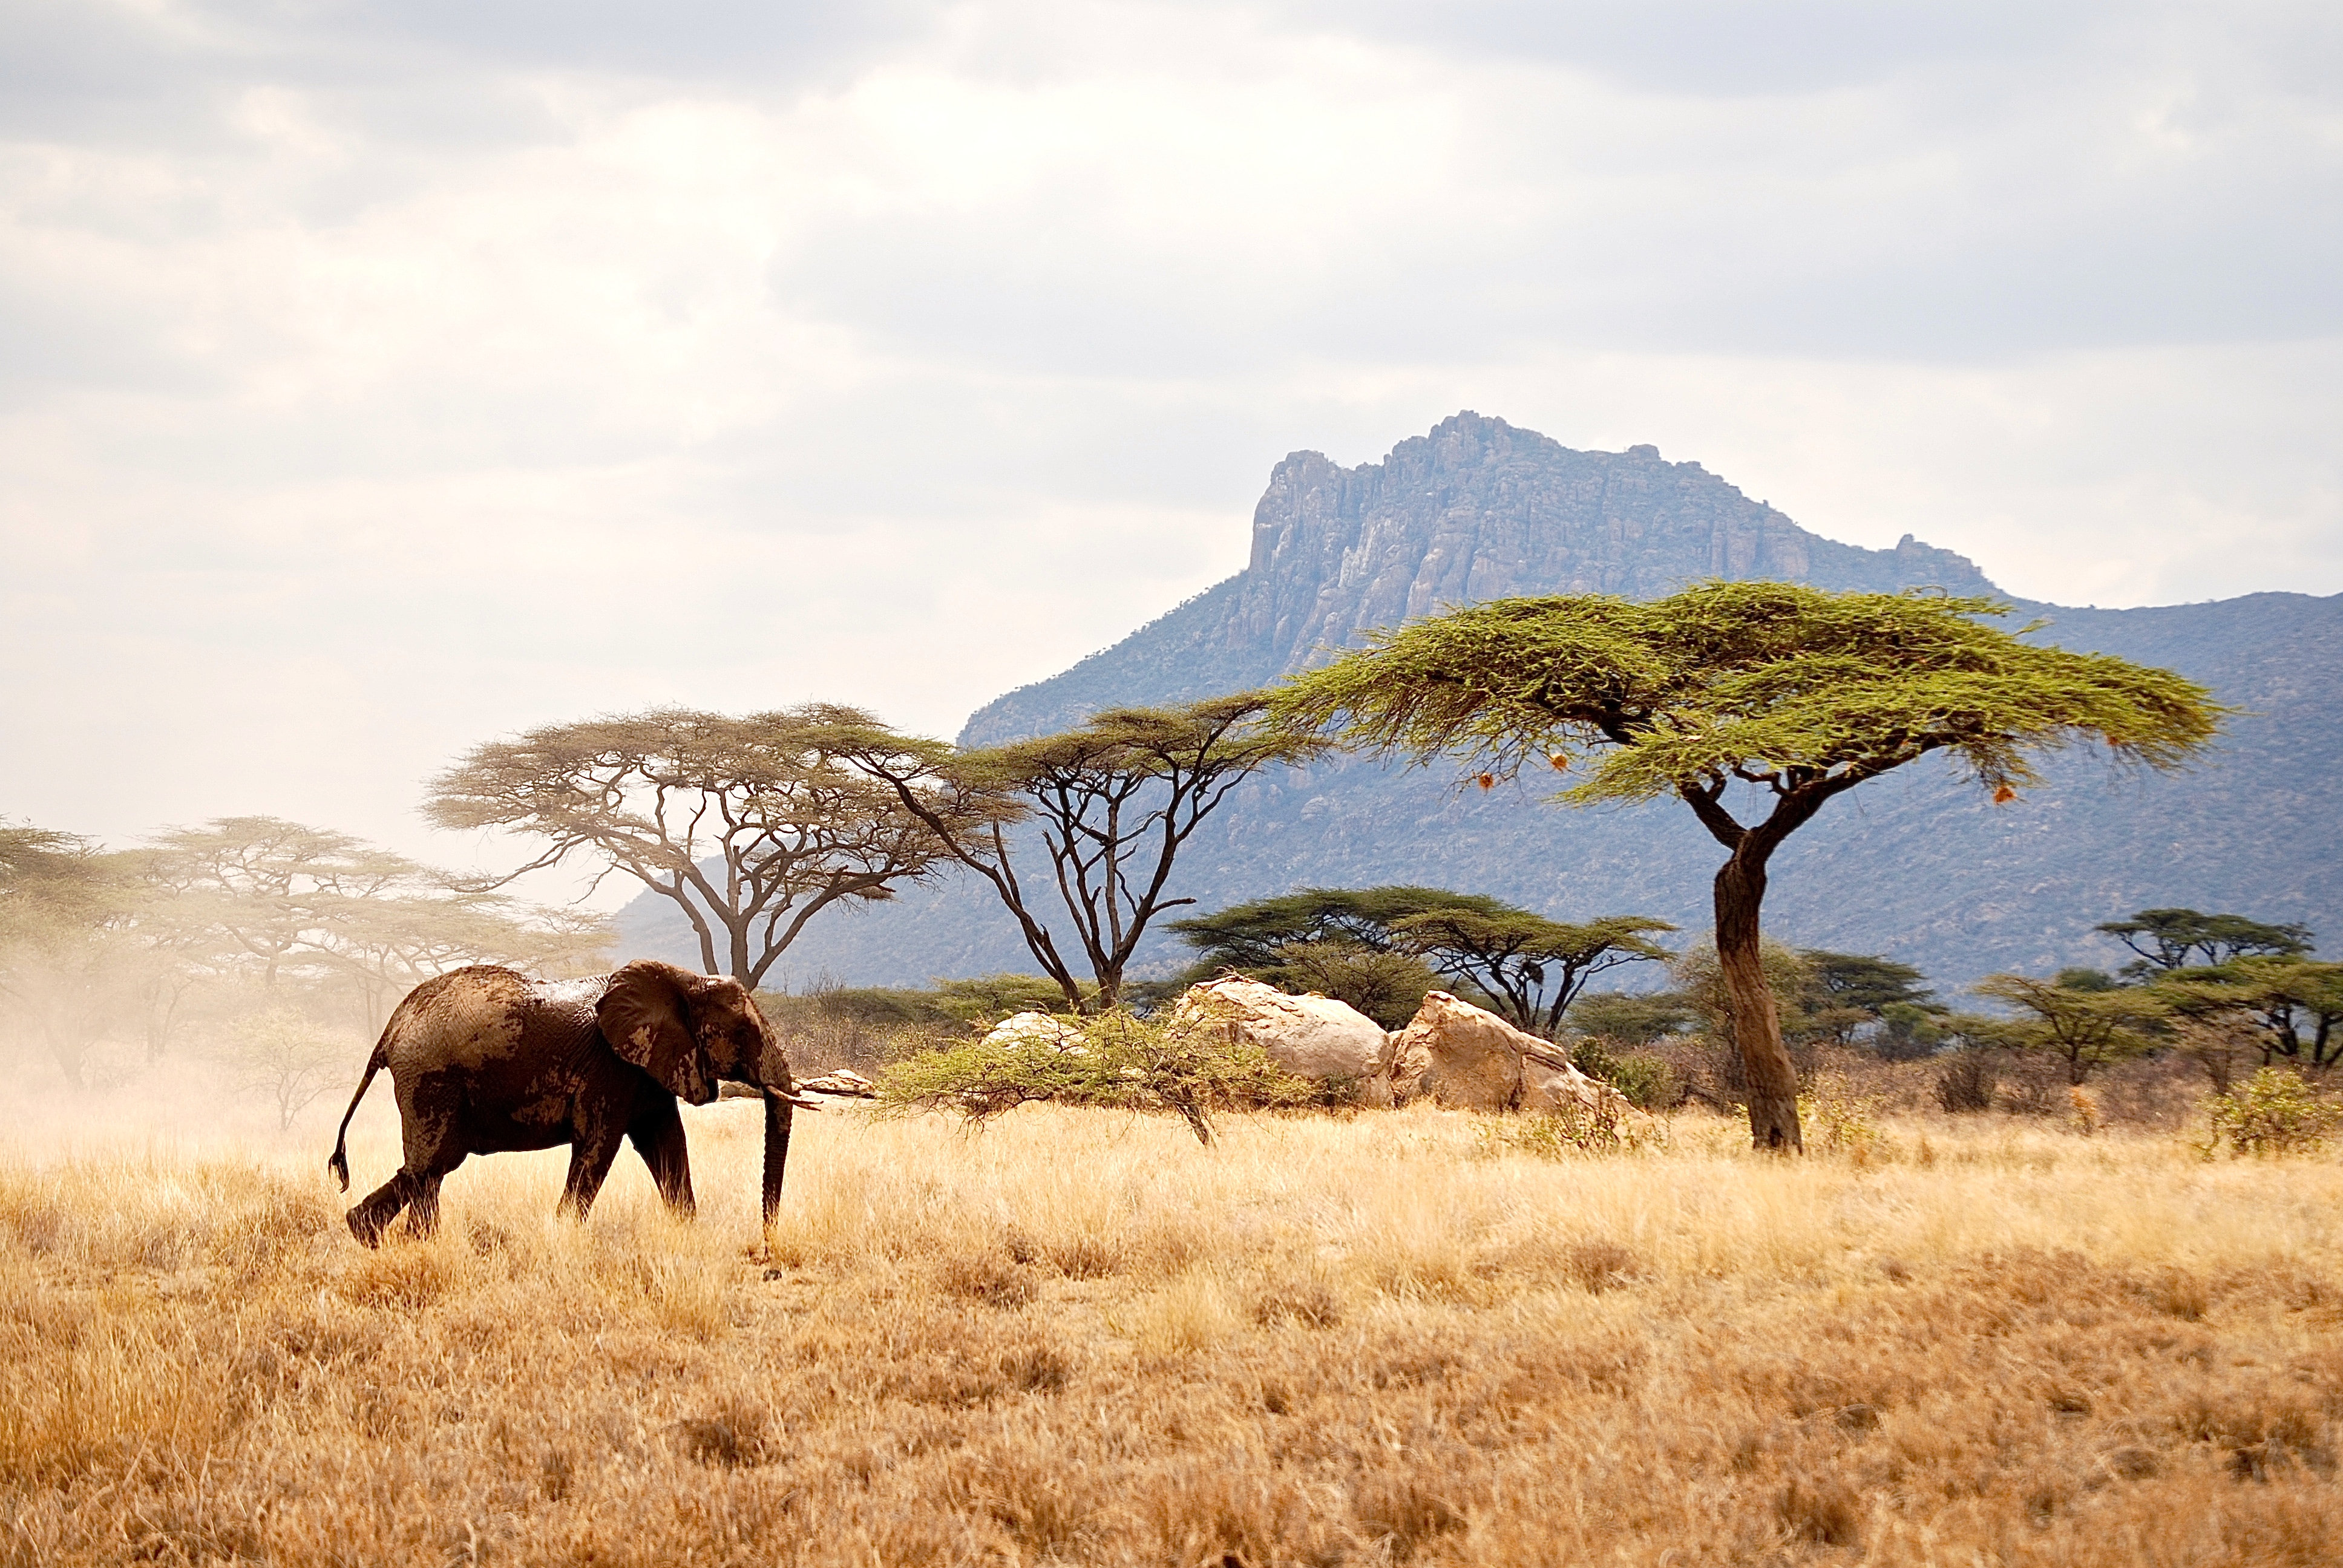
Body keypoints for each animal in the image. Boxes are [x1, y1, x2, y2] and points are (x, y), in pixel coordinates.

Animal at [327, 959, 806, 1247]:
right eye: (744, 1032)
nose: (767, 1245)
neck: (683, 979)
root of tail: (390, 1030)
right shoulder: (610, 1068)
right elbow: (599, 1146)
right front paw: (561, 1236)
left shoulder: (647, 1067)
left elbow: (667, 1142)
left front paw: (688, 1234)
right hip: (432, 1080)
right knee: (433, 1164)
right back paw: (390, 1238)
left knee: (429, 1168)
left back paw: (384, 1238)